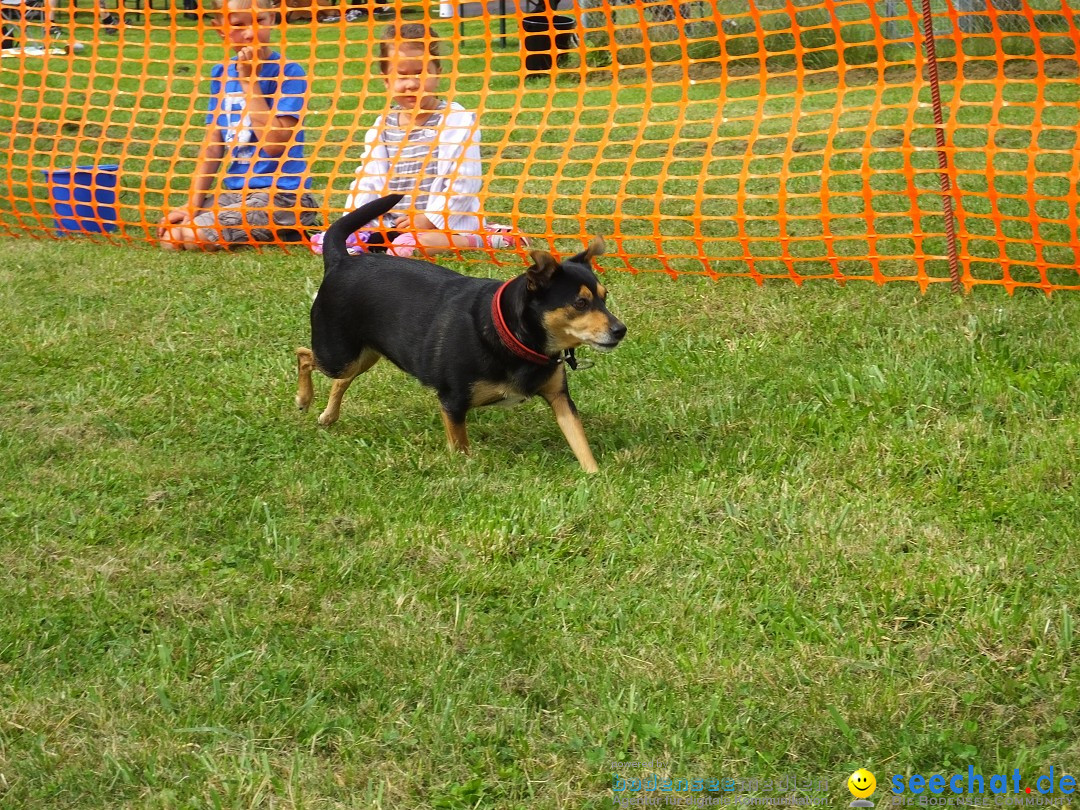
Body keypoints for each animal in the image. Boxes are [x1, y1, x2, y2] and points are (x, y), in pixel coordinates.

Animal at [300, 195, 630, 473]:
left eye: (604, 297)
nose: (620, 330)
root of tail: (342, 260)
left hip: (363, 355)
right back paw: (303, 399)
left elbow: (579, 441)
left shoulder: (560, 399)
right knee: (304, 355)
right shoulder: (453, 402)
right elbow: (460, 447)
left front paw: (595, 476)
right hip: (337, 353)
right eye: (580, 303)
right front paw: (465, 472)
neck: (515, 337)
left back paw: (328, 415)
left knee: (340, 379)